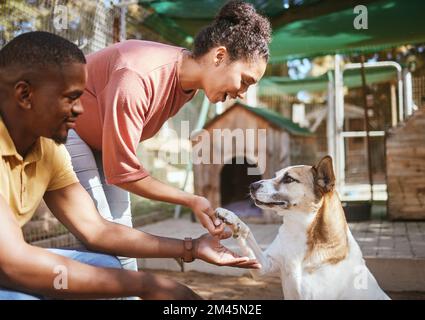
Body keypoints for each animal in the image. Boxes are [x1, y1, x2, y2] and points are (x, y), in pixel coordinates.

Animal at [217, 156, 390, 300]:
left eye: (288, 178)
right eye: (276, 175)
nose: (252, 185)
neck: (299, 230)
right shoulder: (264, 266)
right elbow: (246, 232)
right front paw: (230, 217)